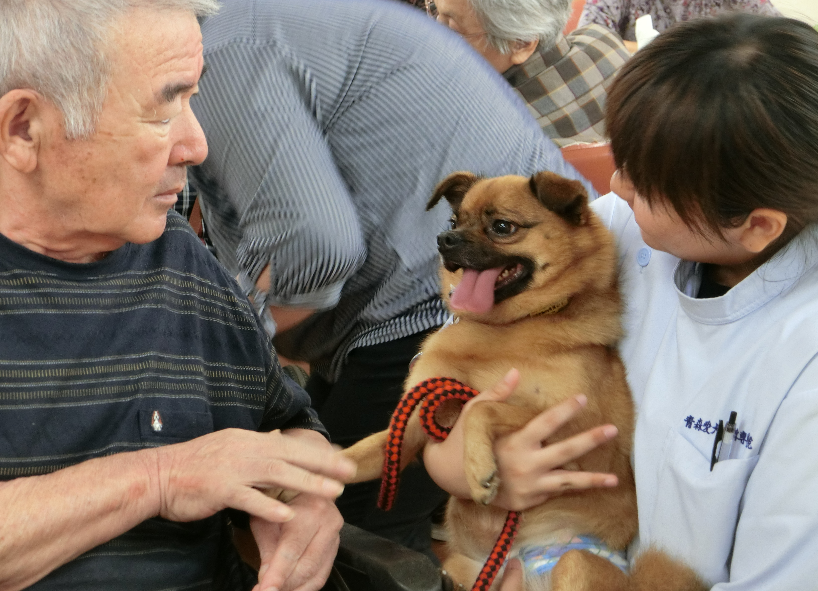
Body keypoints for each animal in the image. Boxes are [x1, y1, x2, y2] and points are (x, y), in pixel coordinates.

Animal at [342, 171, 704, 591]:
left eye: (502, 227)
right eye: (453, 221)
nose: (444, 239)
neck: (505, 328)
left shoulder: (574, 428)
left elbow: (483, 406)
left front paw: (478, 468)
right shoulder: (414, 424)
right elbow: (355, 457)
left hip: (574, 562)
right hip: (458, 570)